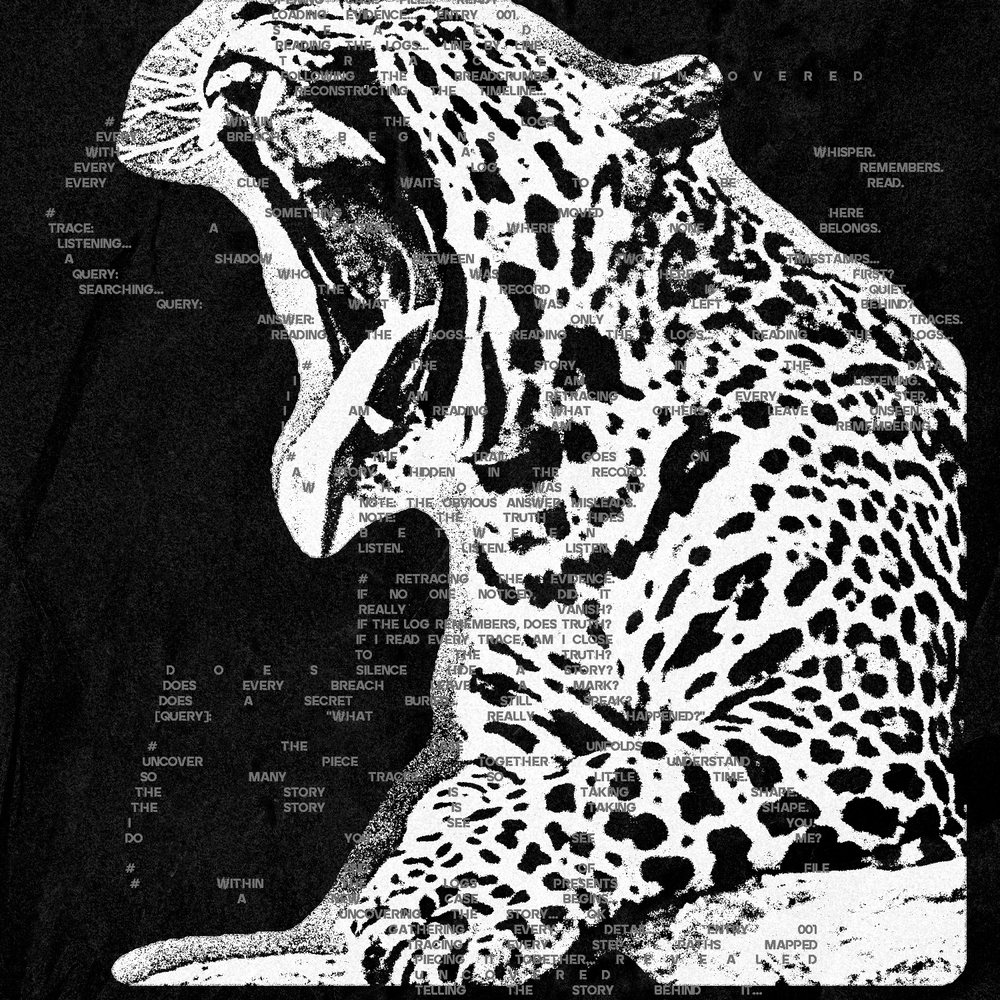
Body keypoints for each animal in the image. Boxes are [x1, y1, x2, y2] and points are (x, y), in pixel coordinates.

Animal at [111, 0, 966, 986]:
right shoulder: (523, 735)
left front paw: (441, 915)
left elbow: (624, 780)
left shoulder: (850, 707)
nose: (245, 16)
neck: (565, 495)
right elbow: (461, 800)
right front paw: (420, 884)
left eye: (420, 22)